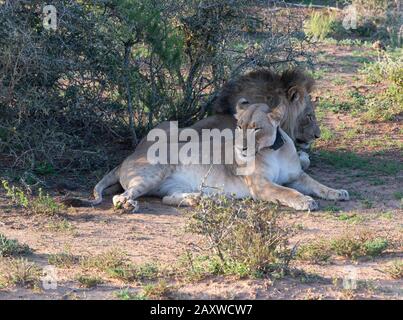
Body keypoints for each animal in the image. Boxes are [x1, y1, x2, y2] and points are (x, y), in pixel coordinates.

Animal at [64, 99, 348, 211]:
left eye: (256, 128)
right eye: (239, 126)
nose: (241, 147)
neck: (271, 149)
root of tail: (128, 157)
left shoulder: (297, 176)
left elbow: (318, 184)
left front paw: (338, 193)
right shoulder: (261, 186)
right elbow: (286, 192)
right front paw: (305, 201)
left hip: (169, 186)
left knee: (168, 198)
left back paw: (202, 199)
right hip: (154, 172)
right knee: (121, 197)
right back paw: (128, 205)